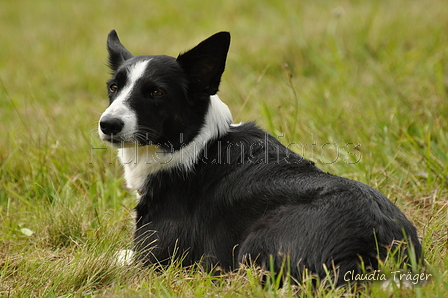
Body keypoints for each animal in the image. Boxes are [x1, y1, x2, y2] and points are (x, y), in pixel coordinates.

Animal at [99, 29, 424, 284]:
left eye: (156, 92)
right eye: (113, 88)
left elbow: (119, 256)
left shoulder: (153, 256)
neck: (194, 143)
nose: (107, 124)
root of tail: (376, 249)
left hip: (254, 246)